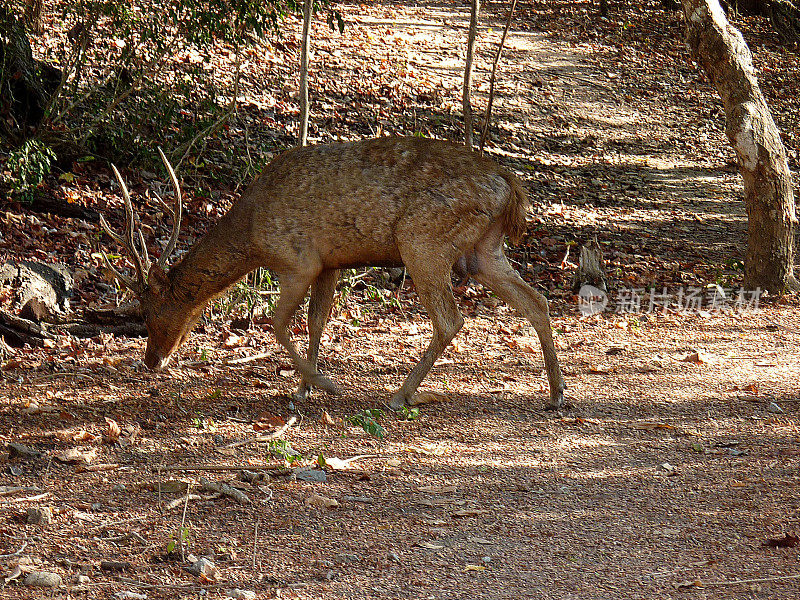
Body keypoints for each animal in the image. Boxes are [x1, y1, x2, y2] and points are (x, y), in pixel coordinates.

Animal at [98, 136, 564, 408]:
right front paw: (304, 386)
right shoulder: (330, 264)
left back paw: (400, 395)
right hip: (482, 251)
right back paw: (557, 394)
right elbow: (317, 320)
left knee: (451, 318)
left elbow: (277, 323)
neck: (252, 235)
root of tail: (511, 187)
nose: (152, 360)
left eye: (147, 313)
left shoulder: (297, 260)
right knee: (536, 301)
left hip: (423, 240)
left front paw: (322, 384)